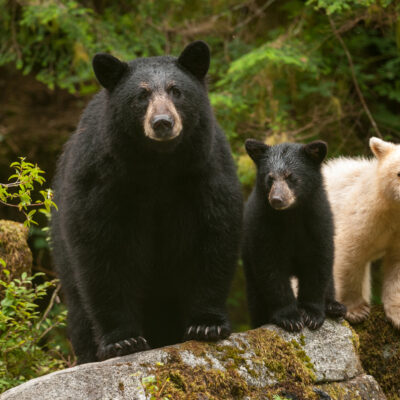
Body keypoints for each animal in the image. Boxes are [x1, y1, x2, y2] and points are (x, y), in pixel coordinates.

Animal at [51, 42, 242, 364]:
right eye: (141, 95)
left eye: (176, 90)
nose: (162, 123)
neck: (158, 165)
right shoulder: (102, 180)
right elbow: (102, 250)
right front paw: (122, 340)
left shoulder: (205, 172)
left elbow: (213, 237)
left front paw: (207, 325)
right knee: (78, 309)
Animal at [242, 139, 346, 332]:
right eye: (270, 177)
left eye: (291, 177)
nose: (277, 199)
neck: (290, 215)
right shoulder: (262, 225)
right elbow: (271, 269)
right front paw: (289, 317)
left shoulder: (319, 222)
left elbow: (318, 264)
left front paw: (312, 314)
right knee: (256, 297)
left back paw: (334, 306)